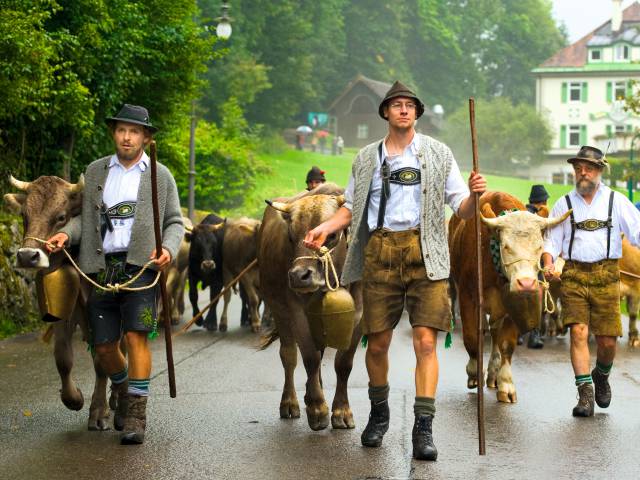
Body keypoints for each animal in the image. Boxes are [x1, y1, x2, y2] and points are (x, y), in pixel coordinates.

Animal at [258, 185, 362, 432]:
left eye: (332, 235)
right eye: (290, 236)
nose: (299, 276)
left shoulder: (360, 316)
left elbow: (344, 363)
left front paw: (342, 411)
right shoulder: (296, 311)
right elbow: (310, 358)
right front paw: (317, 409)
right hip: (278, 308)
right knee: (288, 355)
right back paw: (291, 403)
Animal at [448, 191, 568, 402]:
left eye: (540, 247)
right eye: (505, 246)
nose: (526, 283)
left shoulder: (514, 304)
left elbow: (506, 344)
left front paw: (506, 384)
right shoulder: (467, 296)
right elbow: (472, 337)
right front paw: (473, 372)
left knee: (495, 332)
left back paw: (493, 372)